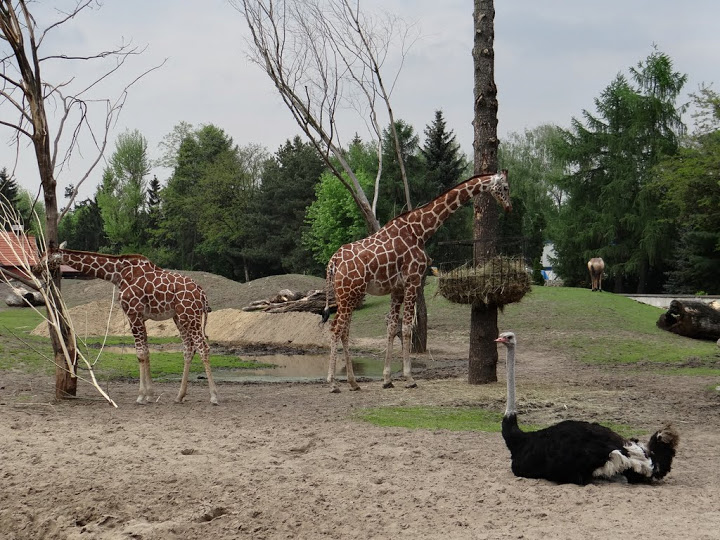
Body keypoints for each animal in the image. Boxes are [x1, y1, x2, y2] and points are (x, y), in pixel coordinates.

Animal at [40, 246, 219, 405]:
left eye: (45, 257)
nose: (36, 267)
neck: (118, 275)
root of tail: (202, 293)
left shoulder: (133, 314)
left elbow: (140, 354)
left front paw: (141, 396)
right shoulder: (141, 317)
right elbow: (146, 352)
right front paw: (150, 395)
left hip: (190, 315)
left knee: (203, 347)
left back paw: (214, 397)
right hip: (180, 318)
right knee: (189, 349)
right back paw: (179, 396)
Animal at [321, 170, 512, 392]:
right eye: (505, 187)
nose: (509, 207)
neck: (421, 230)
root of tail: (333, 262)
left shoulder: (397, 288)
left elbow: (392, 327)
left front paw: (387, 379)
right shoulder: (412, 280)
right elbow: (406, 328)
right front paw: (410, 378)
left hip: (349, 295)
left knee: (344, 330)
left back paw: (353, 382)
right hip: (349, 293)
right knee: (336, 328)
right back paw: (333, 383)